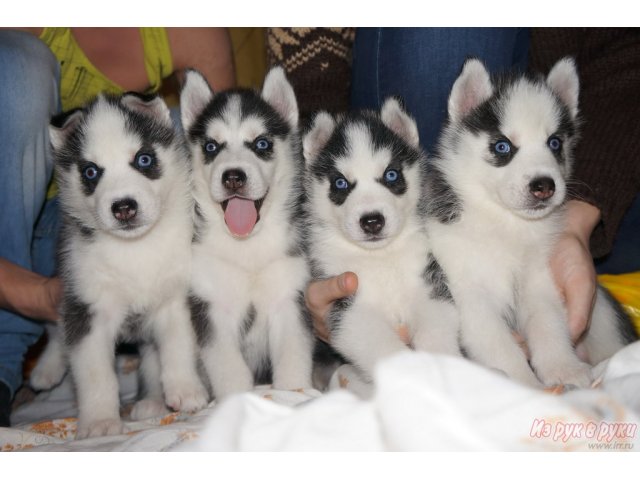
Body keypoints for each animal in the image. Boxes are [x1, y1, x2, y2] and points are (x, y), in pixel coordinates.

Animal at [49, 94, 208, 438]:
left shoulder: (176, 299)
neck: (135, 249)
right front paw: (99, 421)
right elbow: (95, 371)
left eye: (143, 159)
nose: (123, 207)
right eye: (91, 172)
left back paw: (154, 401)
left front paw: (187, 390)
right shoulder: (87, 308)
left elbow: (178, 346)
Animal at [179, 67, 314, 398]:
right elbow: (229, 368)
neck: (247, 248)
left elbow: (293, 357)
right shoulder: (213, 306)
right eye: (211, 146)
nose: (233, 177)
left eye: (261, 144)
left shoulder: (289, 298)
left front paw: (295, 394)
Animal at [302, 99, 462, 380]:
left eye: (391, 175)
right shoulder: (349, 310)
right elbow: (385, 348)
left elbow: (436, 329)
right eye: (340, 183)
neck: (380, 257)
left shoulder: (429, 286)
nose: (372, 221)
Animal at [422, 58, 636, 388]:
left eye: (555, 143)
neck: (507, 223)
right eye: (502, 147)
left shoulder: (538, 280)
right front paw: (523, 385)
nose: (544, 186)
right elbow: (498, 344)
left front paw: (563, 368)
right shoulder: (467, 293)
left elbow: (549, 325)